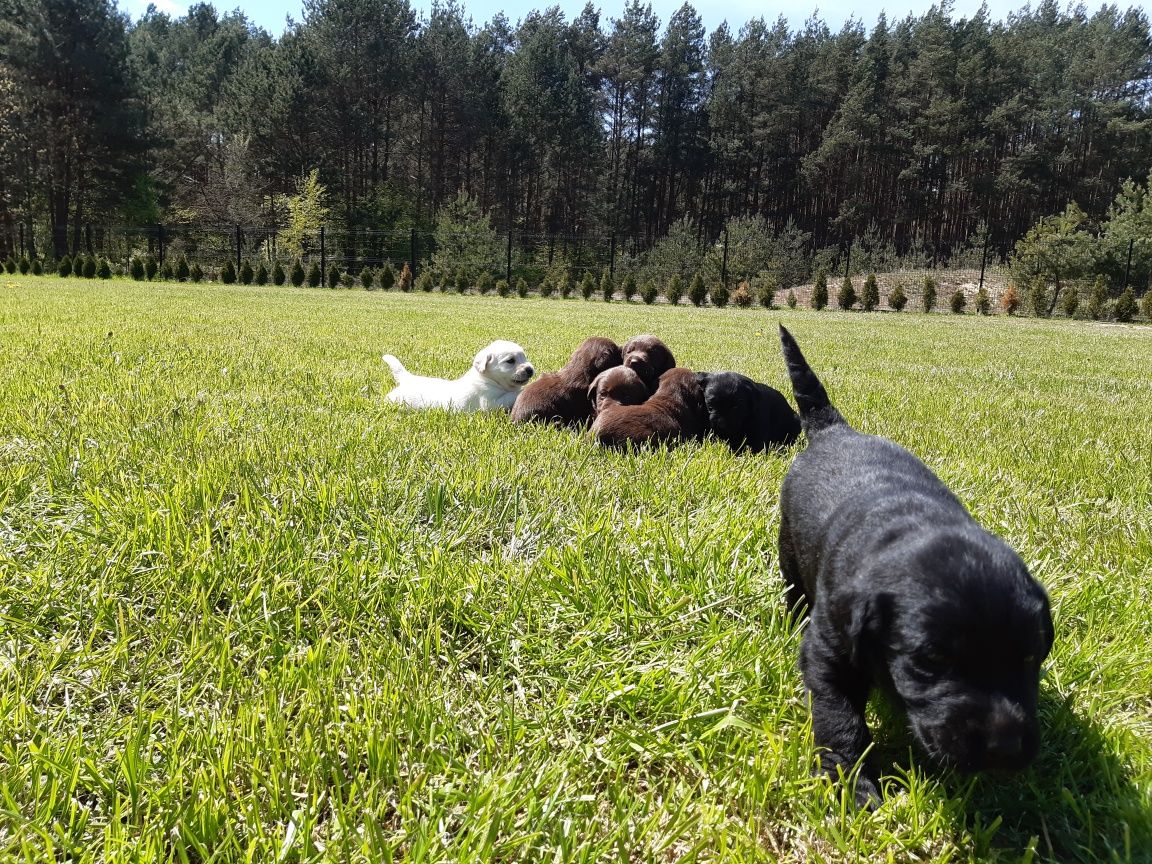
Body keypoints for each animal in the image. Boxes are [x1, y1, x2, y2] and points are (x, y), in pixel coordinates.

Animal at [382, 340, 534, 412]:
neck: (489, 379)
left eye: (524, 357)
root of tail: (408, 379)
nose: (530, 369)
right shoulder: (489, 403)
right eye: (510, 361)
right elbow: (510, 396)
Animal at [774, 327, 1055, 811]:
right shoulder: (829, 652)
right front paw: (854, 786)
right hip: (788, 550)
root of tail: (835, 429)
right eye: (931, 661)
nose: (1004, 749)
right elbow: (840, 721)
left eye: (1029, 657)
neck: (912, 526)